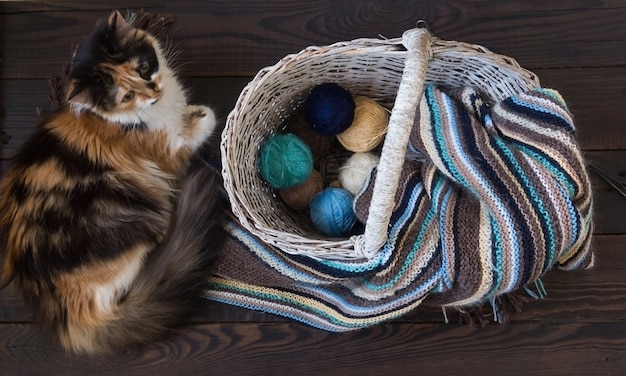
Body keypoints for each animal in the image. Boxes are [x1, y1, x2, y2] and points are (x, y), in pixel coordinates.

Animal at [0, 10, 224, 354]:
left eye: (144, 68)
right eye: (128, 96)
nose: (154, 92)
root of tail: (70, 320)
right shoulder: (169, 152)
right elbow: (206, 120)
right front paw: (198, 115)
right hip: (139, 223)